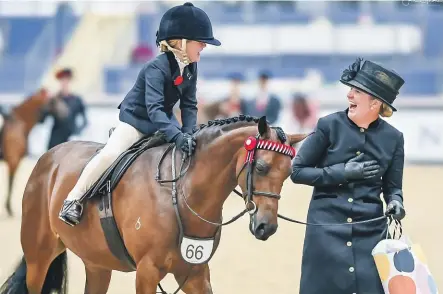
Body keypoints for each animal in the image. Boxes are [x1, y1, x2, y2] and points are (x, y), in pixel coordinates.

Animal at [0, 115, 306, 294]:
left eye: (288, 174)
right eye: (262, 167)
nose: (267, 226)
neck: (181, 194)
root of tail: (48, 157)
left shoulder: (195, 272)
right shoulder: (147, 272)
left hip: (97, 264)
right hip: (39, 257)